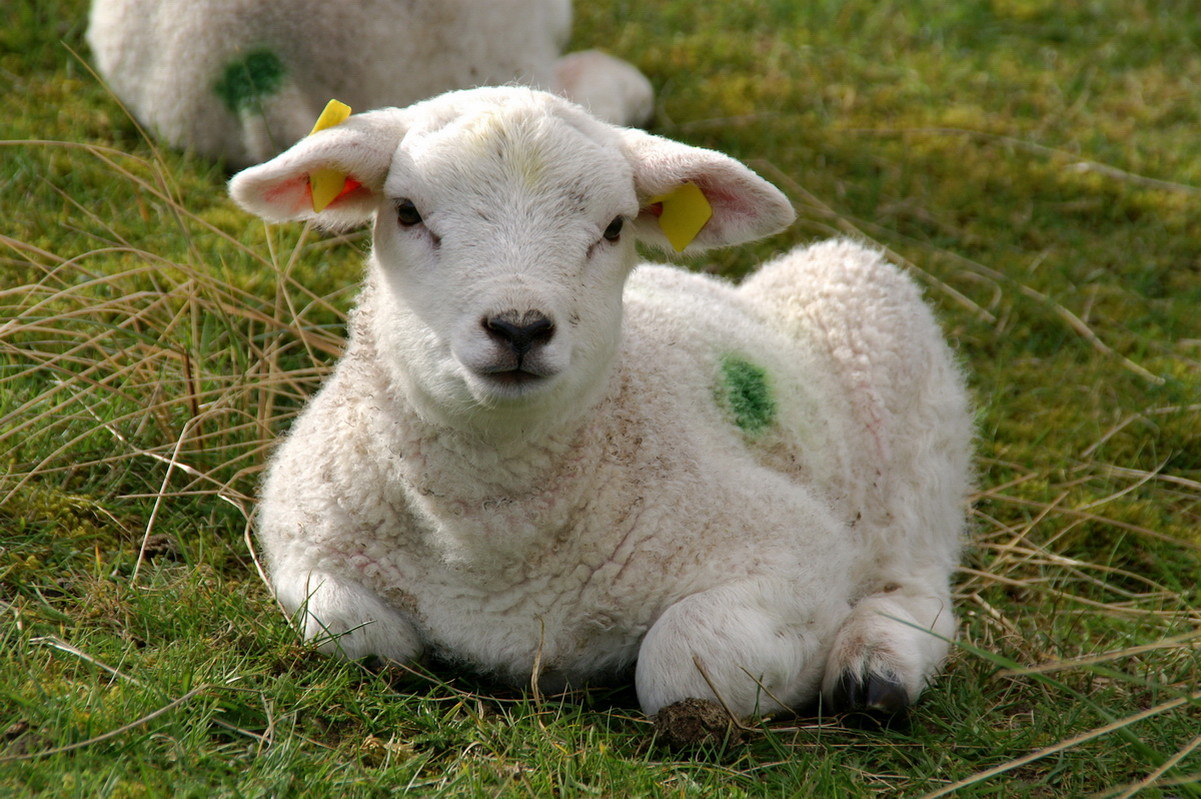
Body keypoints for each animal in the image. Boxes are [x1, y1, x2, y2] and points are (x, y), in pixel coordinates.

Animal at [226, 85, 975, 730]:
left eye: (614, 228)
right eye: (407, 212)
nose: (519, 327)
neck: (490, 551)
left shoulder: (796, 552)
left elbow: (682, 661)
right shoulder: (305, 537)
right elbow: (346, 626)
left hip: (903, 412)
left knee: (917, 581)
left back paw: (874, 667)